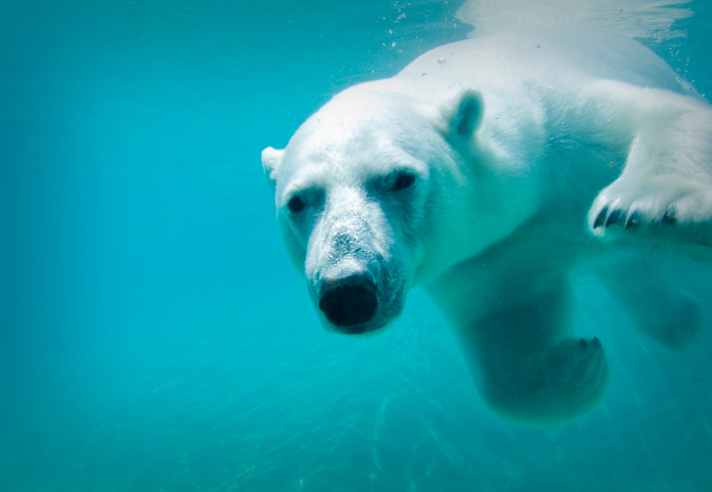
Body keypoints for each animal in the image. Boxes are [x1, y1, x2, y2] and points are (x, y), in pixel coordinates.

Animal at [262, 26, 712, 424]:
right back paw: (686, 322)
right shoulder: (490, 259)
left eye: (400, 179)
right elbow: (506, 339)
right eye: (297, 201)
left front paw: (645, 205)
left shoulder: (566, 127)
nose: (348, 292)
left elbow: (661, 114)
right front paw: (580, 363)